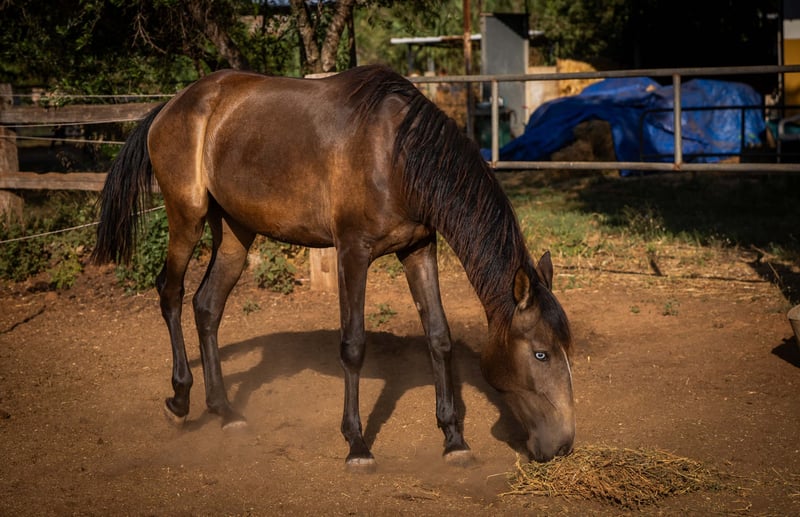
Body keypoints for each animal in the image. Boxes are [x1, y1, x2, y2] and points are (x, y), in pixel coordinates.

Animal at [92, 64, 574, 467]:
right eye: (541, 353)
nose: (564, 444)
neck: (396, 154)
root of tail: (171, 105)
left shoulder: (419, 248)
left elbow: (439, 337)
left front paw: (453, 440)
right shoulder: (352, 252)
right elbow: (353, 345)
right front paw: (357, 444)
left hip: (234, 231)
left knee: (207, 307)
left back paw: (225, 411)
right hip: (187, 217)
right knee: (170, 294)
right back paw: (180, 401)